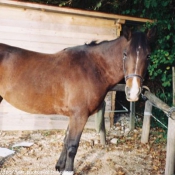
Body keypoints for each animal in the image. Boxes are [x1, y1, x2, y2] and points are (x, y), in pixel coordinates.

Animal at [0, 26, 156, 174]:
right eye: (125, 54)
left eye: (148, 55)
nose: (133, 92)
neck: (92, 68)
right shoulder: (79, 115)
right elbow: (72, 146)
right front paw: (68, 170)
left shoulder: (73, 116)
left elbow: (66, 140)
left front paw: (60, 166)